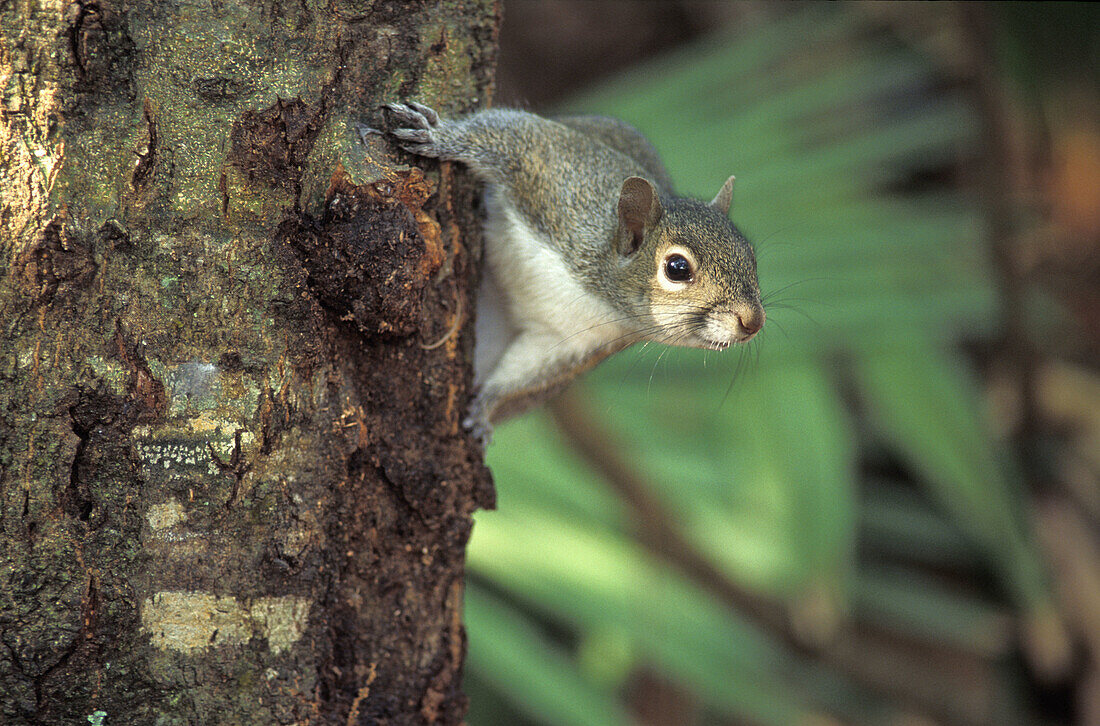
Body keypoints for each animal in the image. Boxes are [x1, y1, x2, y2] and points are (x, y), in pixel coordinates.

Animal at [382, 101, 761, 442]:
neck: (596, 290)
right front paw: (437, 135)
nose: (753, 321)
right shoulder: (558, 177)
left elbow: (525, 372)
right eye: (677, 268)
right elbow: (511, 136)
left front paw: (484, 409)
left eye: (750, 254)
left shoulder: (571, 341)